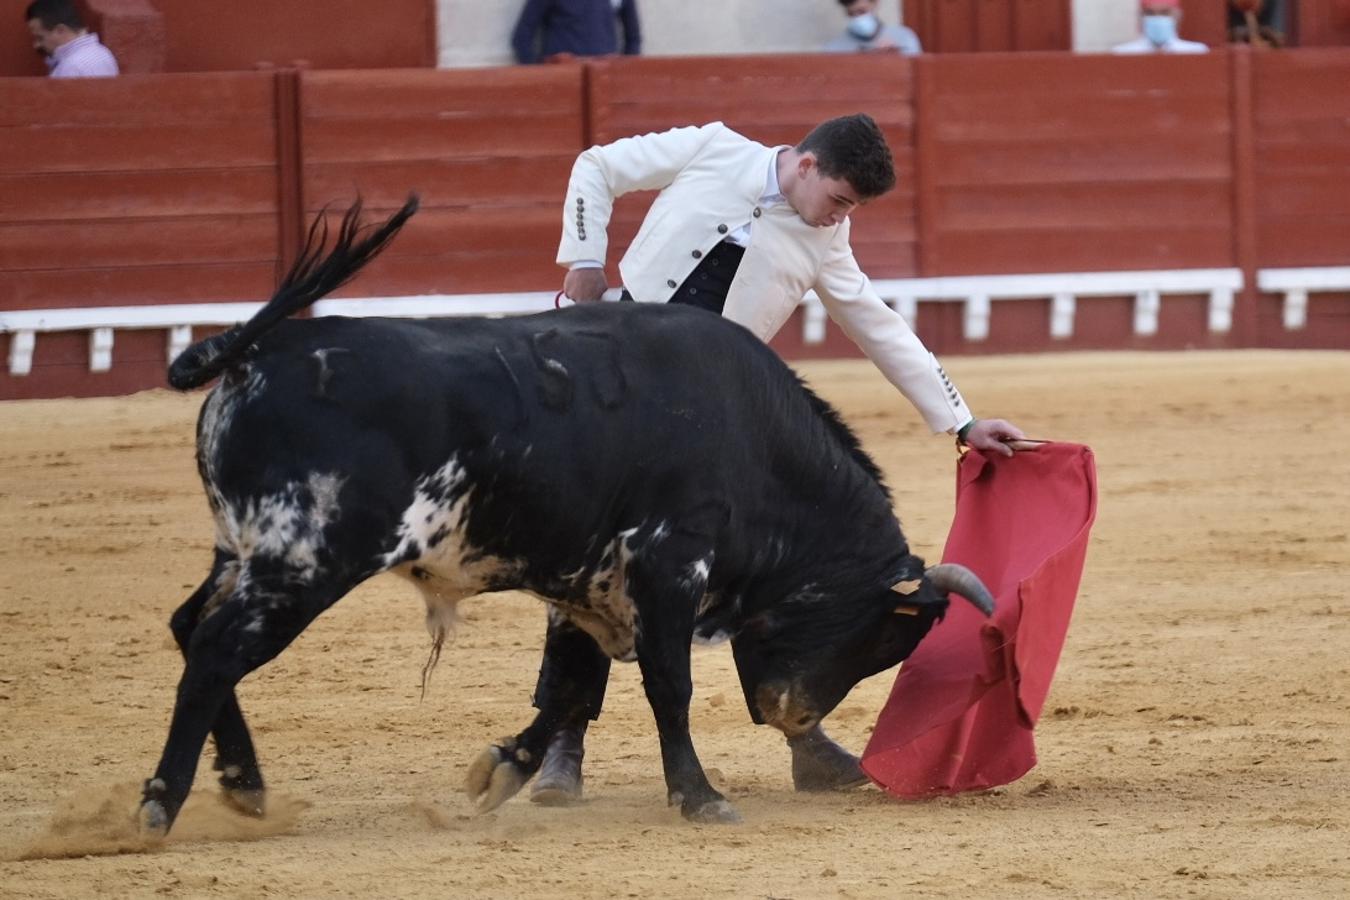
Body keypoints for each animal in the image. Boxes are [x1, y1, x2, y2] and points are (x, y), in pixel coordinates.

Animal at [139, 198, 993, 836]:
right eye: (880, 635)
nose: (794, 713)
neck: (752, 433)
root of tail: (254, 354)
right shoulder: (669, 563)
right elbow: (668, 683)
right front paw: (700, 797)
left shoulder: (592, 583)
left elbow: (569, 694)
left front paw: (502, 772)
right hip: (308, 557)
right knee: (217, 651)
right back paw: (160, 805)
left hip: (243, 549)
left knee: (190, 628)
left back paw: (244, 786)